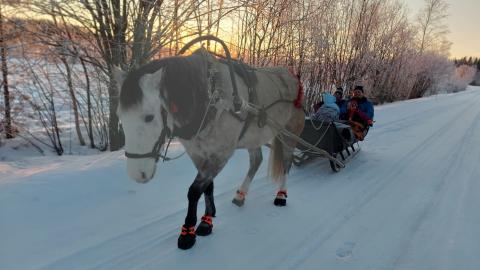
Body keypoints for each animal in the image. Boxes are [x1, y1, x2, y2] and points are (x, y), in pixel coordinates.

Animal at [115, 48, 304, 249]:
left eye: (149, 117)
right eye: (120, 116)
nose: (138, 174)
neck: (210, 97)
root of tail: (293, 77)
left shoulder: (221, 154)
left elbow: (194, 191)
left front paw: (189, 232)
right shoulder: (198, 153)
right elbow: (208, 187)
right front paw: (207, 220)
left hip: (289, 134)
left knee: (286, 162)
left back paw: (281, 195)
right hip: (254, 136)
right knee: (256, 160)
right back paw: (241, 194)